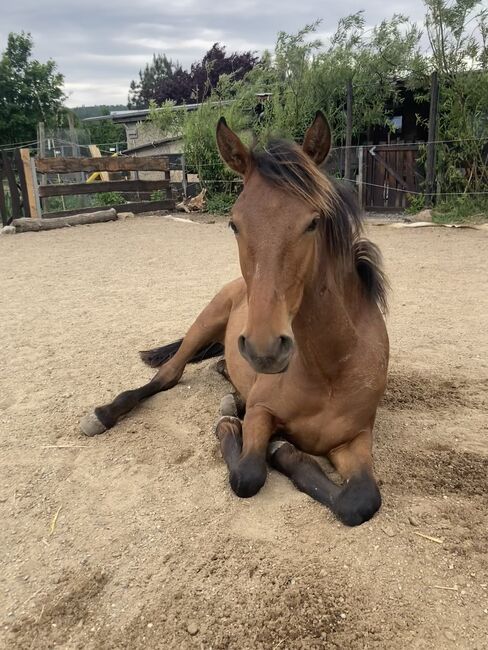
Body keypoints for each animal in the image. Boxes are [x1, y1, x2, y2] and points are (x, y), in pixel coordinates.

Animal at [82, 111, 390, 524]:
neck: (329, 368)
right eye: (234, 224)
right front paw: (241, 431)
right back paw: (104, 414)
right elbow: (247, 475)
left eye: (313, 221)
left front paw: (277, 446)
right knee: (167, 375)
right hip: (203, 324)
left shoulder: (355, 440)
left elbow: (360, 501)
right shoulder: (261, 413)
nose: (265, 348)